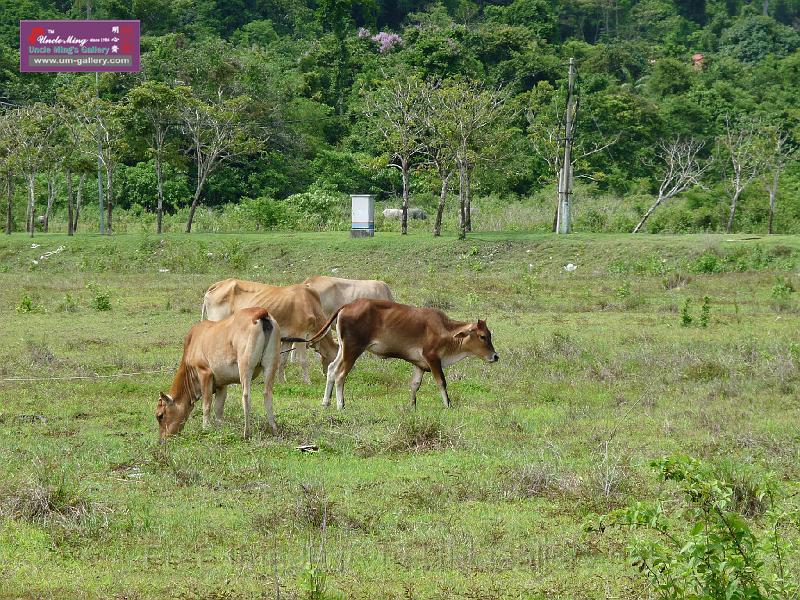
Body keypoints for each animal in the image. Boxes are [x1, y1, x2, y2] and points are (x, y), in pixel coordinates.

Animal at [156, 308, 282, 438]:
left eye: (160, 415)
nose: (162, 440)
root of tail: (259, 311)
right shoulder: (222, 384)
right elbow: (219, 408)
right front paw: (219, 429)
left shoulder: (205, 373)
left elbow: (206, 405)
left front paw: (205, 428)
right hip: (271, 364)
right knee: (267, 394)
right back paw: (274, 430)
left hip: (245, 366)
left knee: (246, 396)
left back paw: (246, 433)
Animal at [202, 278, 340, 382]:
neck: (310, 303)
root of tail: (217, 285)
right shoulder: (301, 335)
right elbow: (303, 361)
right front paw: (307, 382)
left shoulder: (288, 338)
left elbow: (282, 361)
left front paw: (282, 381)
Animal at [284, 298, 500, 410]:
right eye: (482, 336)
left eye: (490, 334)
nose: (495, 356)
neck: (445, 330)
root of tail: (347, 306)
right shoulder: (433, 358)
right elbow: (442, 382)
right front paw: (448, 405)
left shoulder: (419, 364)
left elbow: (414, 385)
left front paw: (412, 406)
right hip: (353, 349)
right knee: (340, 374)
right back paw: (340, 404)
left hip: (344, 349)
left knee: (330, 369)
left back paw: (326, 402)